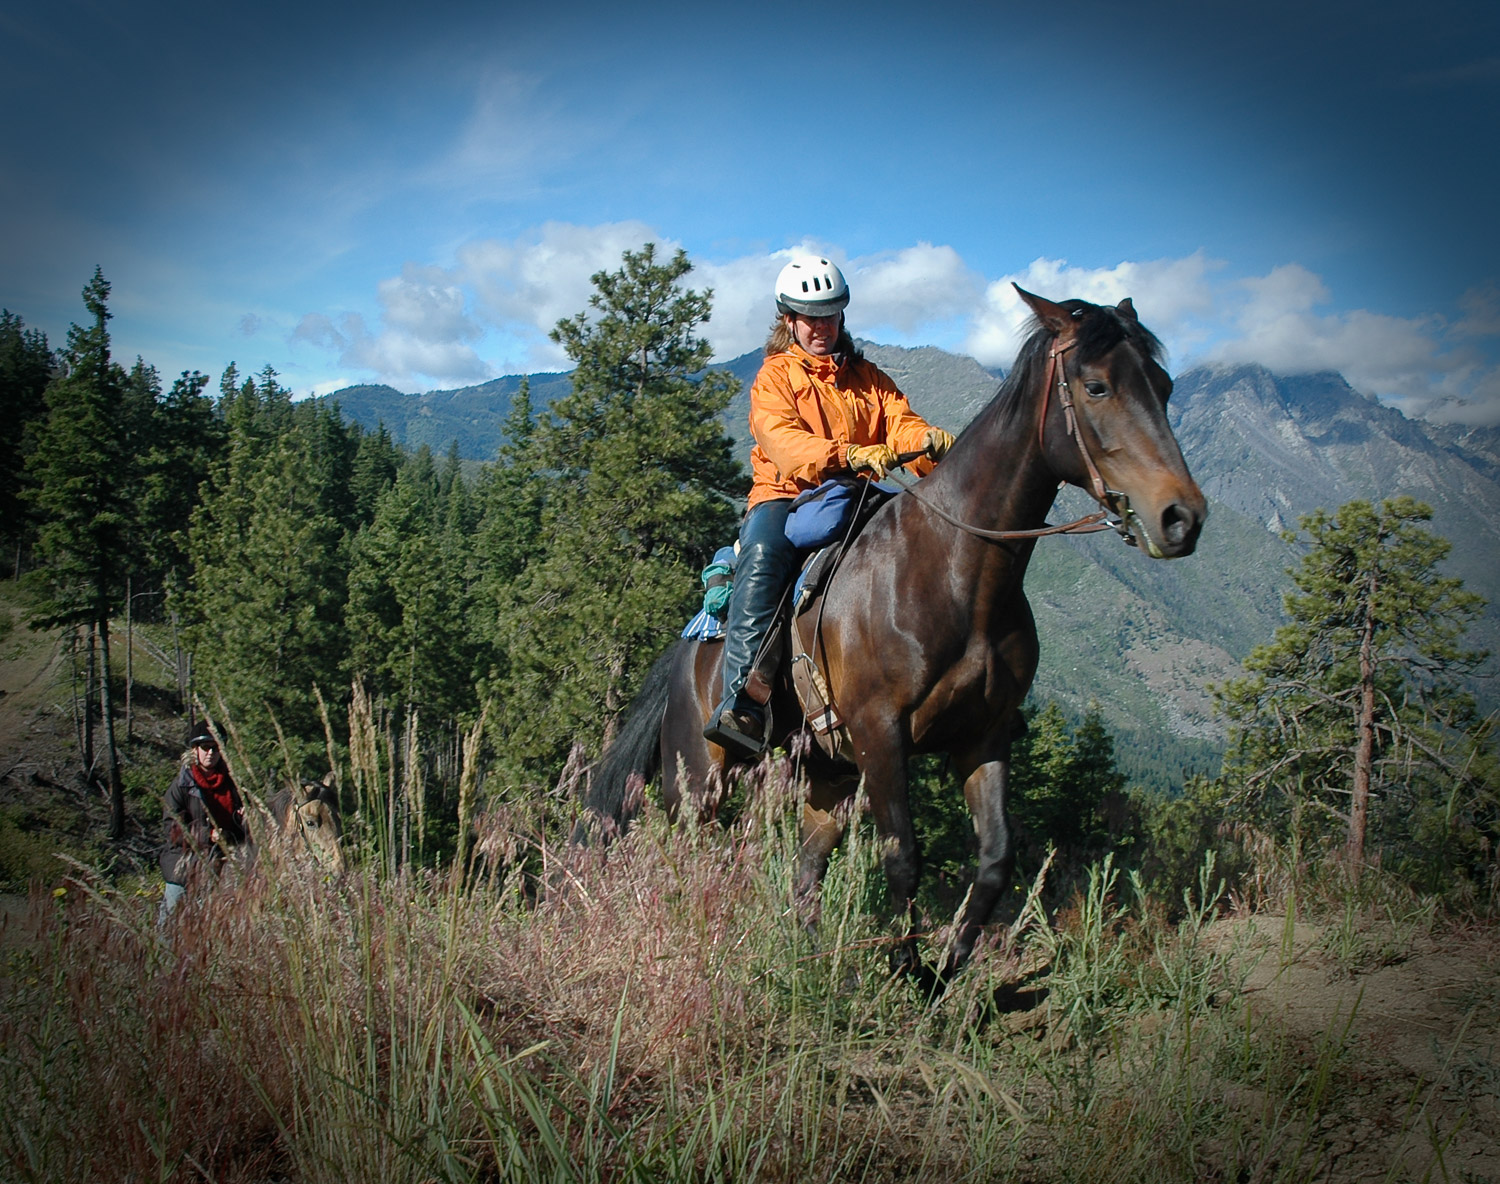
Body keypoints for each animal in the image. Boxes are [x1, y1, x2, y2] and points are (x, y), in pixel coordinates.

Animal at [576, 291, 1206, 984]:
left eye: (1164, 386)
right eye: (1096, 386)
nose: (1182, 517)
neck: (956, 571)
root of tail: (689, 652)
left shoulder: (983, 737)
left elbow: (996, 859)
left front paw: (946, 969)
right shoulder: (882, 734)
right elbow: (903, 856)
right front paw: (907, 969)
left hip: (828, 775)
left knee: (805, 871)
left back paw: (811, 962)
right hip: (697, 779)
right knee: (687, 852)